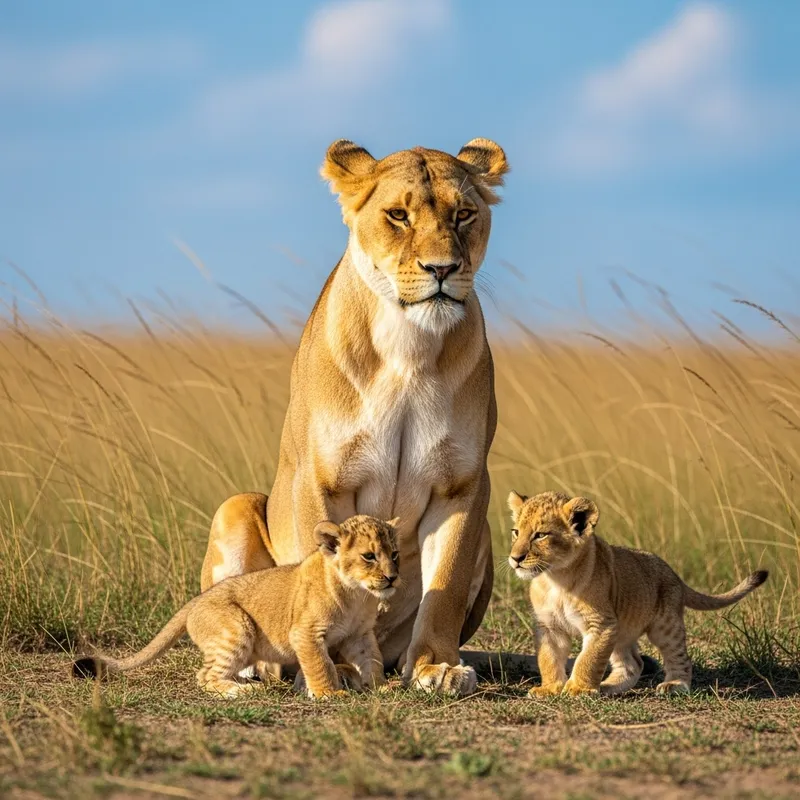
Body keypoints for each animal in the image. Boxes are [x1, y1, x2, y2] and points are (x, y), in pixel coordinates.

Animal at [73, 515, 398, 699]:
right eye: (369, 556)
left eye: (395, 554)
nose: (393, 577)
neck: (358, 596)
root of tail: (194, 602)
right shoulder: (305, 633)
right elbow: (320, 664)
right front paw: (329, 693)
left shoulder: (359, 635)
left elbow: (372, 660)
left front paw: (381, 687)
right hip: (235, 628)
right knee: (205, 676)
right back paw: (244, 691)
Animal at [201, 139, 510, 695]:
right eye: (398, 215)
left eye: (464, 214)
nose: (442, 269)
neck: (409, 343)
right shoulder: (318, 476)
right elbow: (316, 567)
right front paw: (332, 667)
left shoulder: (462, 486)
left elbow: (446, 585)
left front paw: (437, 667)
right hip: (235, 506)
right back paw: (259, 666)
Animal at [507, 491, 768, 696]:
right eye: (516, 532)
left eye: (540, 535)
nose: (515, 558)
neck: (555, 579)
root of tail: (674, 574)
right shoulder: (550, 626)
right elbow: (548, 658)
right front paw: (550, 688)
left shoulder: (601, 624)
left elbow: (588, 659)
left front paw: (579, 689)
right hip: (621, 630)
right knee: (634, 664)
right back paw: (607, 686)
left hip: (664, 626)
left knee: (679, 656)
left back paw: (675, 684)